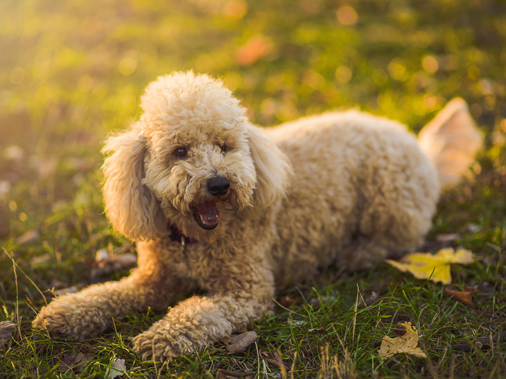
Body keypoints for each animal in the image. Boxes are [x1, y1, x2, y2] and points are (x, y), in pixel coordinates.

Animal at [32, 70, 482, 362]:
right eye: (179, 152)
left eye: (225, 145)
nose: (218, 184)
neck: (194, 241)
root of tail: (419, 146)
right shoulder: (153, 280)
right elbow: (108, 294)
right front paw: (67, 312)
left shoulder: (247, 291)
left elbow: (199, 310)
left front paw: (162, 337)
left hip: (388, 194)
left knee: (402, 238)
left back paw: (358, 253)